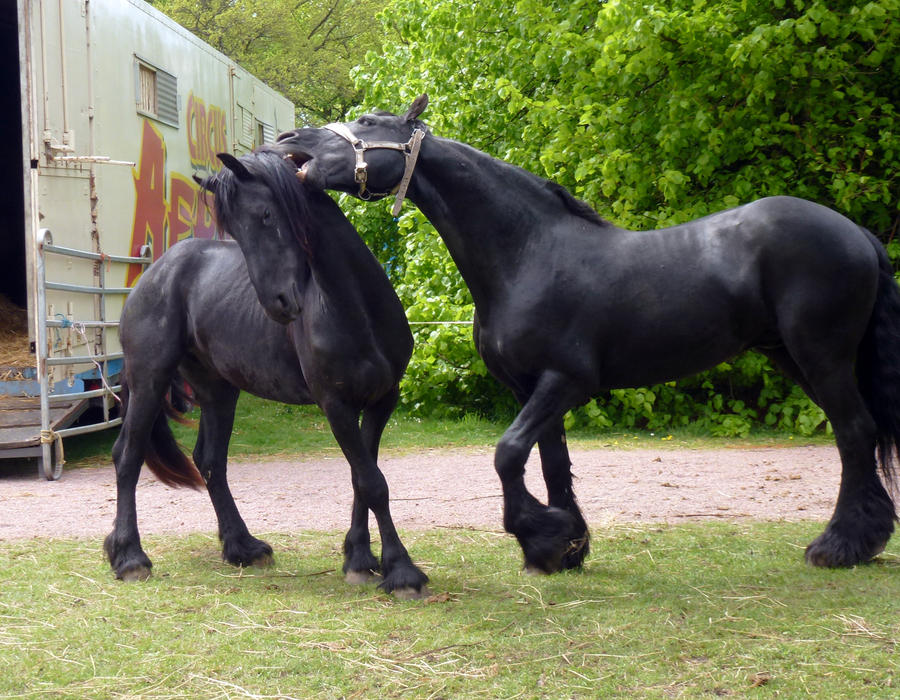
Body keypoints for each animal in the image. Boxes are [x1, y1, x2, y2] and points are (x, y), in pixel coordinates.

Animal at [105, 148, 428, 596]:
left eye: (267, 215)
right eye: (235, 233)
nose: (279, 303)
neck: (356, 309)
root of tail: (153, 274)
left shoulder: (382, 399)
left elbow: (362, 479)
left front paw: (360, 558)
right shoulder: (336, 405)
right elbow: (372, 483)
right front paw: (400, 571)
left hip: (218, 390)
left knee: (210, 461)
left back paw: (242, 547)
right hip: (149, 381)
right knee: (128, 455)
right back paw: (130, 557)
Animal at [278, 94, 900, 576]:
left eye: (368, 122)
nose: (291, 139)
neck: (529, 253)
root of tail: (856, 233)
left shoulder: (566, 381)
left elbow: (507, 454)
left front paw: (542, 535)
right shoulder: (532, 388)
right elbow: (550, 463)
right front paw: (565, 547)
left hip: (821, 355)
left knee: (854, 431)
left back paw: (840, 546)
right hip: (793, 356)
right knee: (858, 432)